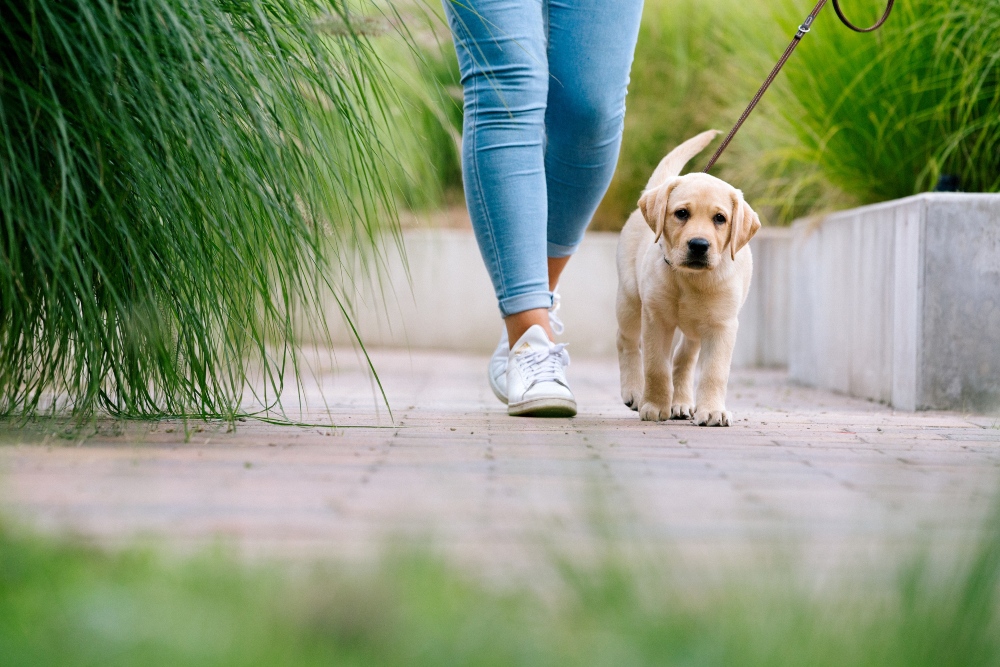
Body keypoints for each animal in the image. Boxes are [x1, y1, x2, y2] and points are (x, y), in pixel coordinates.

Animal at [612, 132, 760, 428]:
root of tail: (655, 188)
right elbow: (656, 367)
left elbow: (714, 372)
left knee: (684, 357)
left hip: (695, 328)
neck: (691, 279)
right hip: (630, 298)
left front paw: (712, 411)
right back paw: (635, 391)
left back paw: (680, 403)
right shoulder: (656, 318)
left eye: (720, 218)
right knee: (627, 341)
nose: (699, 245)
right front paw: (655, 406)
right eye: (681, 213)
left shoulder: (722, 326)